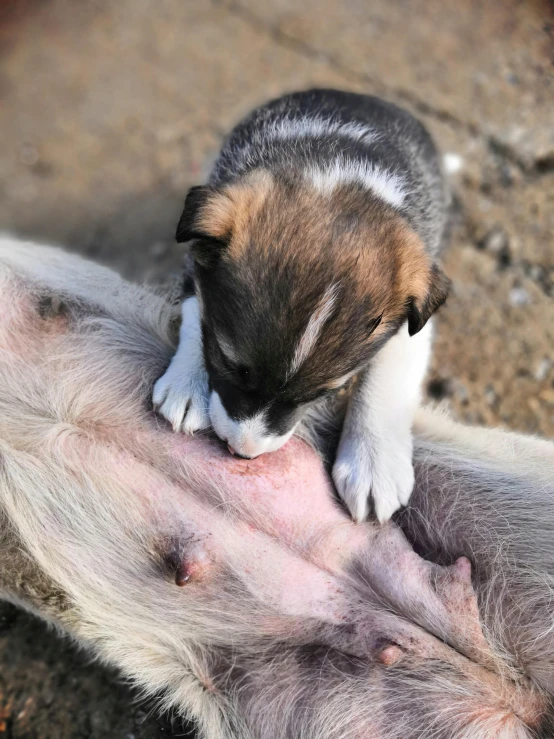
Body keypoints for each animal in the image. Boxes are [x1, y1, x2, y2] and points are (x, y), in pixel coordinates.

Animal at [152, 89, 448, 524]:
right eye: (228, 363)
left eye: (327, 392)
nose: (243, 453)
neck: (335, 175)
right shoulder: (196, 262)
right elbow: (196, 312)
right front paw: (187, 383)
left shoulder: (412, 327)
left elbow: (386, 379)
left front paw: (373, 465)